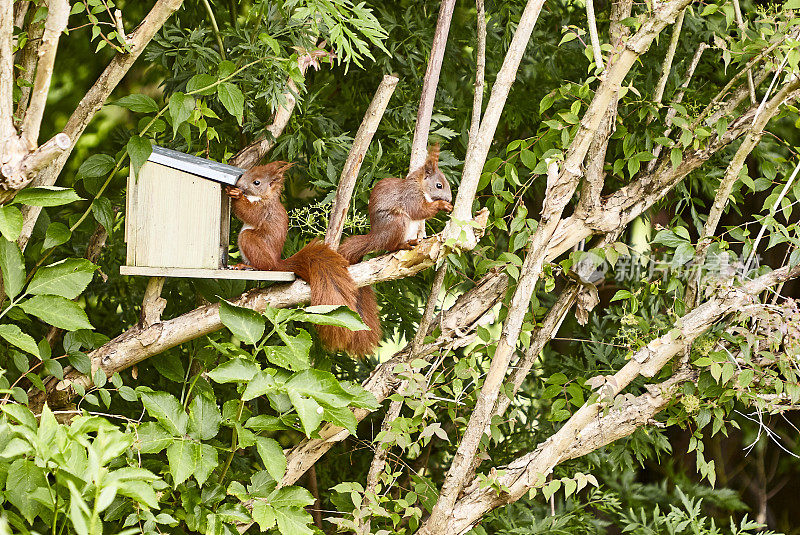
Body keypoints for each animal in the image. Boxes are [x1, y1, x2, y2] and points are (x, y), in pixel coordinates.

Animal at [225, 161, 382, 358]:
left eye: (256, 182)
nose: (239, 184)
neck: (263, 197)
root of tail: (276, 262)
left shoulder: (264, 210)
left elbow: (250, 214)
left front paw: (235, 195)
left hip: (251, 242)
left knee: (261, 264)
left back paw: (246, 266)